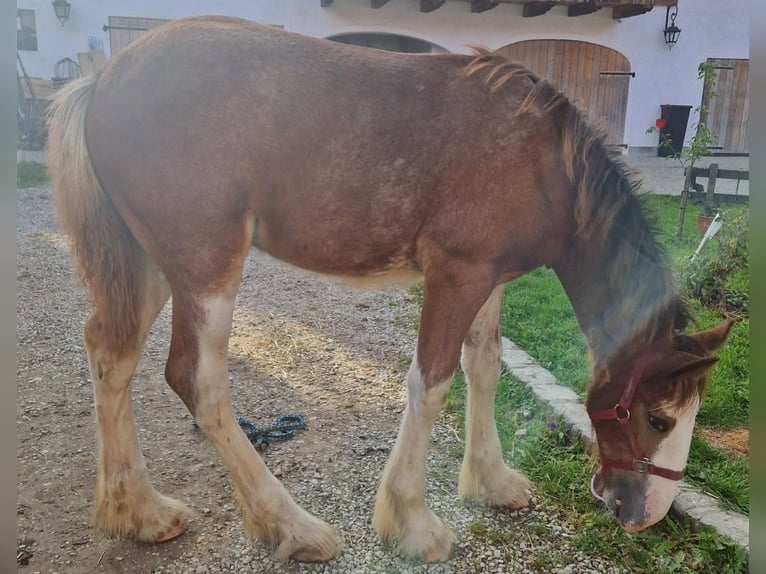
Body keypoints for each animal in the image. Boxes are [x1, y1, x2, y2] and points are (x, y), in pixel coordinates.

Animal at [46, 16, 731, 563]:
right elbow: (432, 385)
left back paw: (139, 513)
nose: (646, 513)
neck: (544, 161)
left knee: (110, 355)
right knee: (198, 381)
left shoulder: (489, 279)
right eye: (658, 417)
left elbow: (483, 368)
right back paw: (291, 526)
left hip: (147, 264)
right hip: (206, 266)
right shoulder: (457, 274)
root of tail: (102, 83)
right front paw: (412, 524)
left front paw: (492, 481)